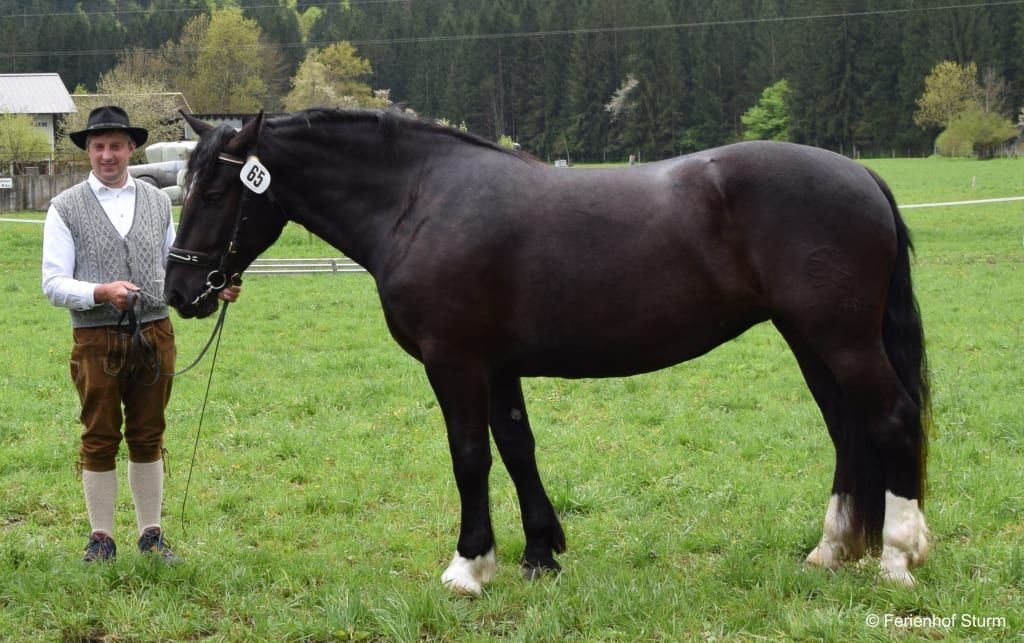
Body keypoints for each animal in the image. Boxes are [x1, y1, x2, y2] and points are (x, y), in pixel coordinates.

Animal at [165, 108, 931, 595]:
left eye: (216, 189)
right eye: (183, 185)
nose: (179, 289)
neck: (419, 201)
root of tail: (863, 175)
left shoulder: (455, 361)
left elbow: (470, 456)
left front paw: (468, 566)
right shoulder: (499, 365)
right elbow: (516, 447)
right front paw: (539, 553)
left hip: (839, 338)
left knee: (890, 418)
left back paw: (898, 556)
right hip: (809, 339)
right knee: (848, 431)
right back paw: (831, 550)